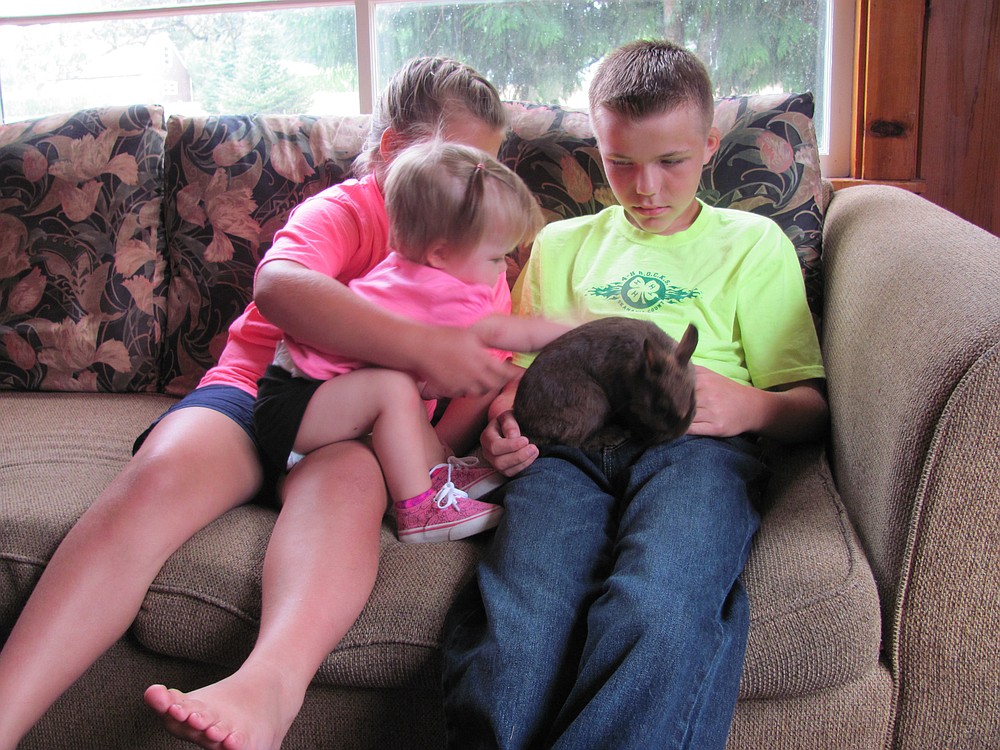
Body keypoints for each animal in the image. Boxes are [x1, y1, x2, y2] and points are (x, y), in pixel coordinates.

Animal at [516, 318, 696, 452]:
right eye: (662, 407)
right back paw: (615, 435)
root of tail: (524, 423)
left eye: (692, 397)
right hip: (593, 404)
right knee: (575, 441)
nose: (677, 434)